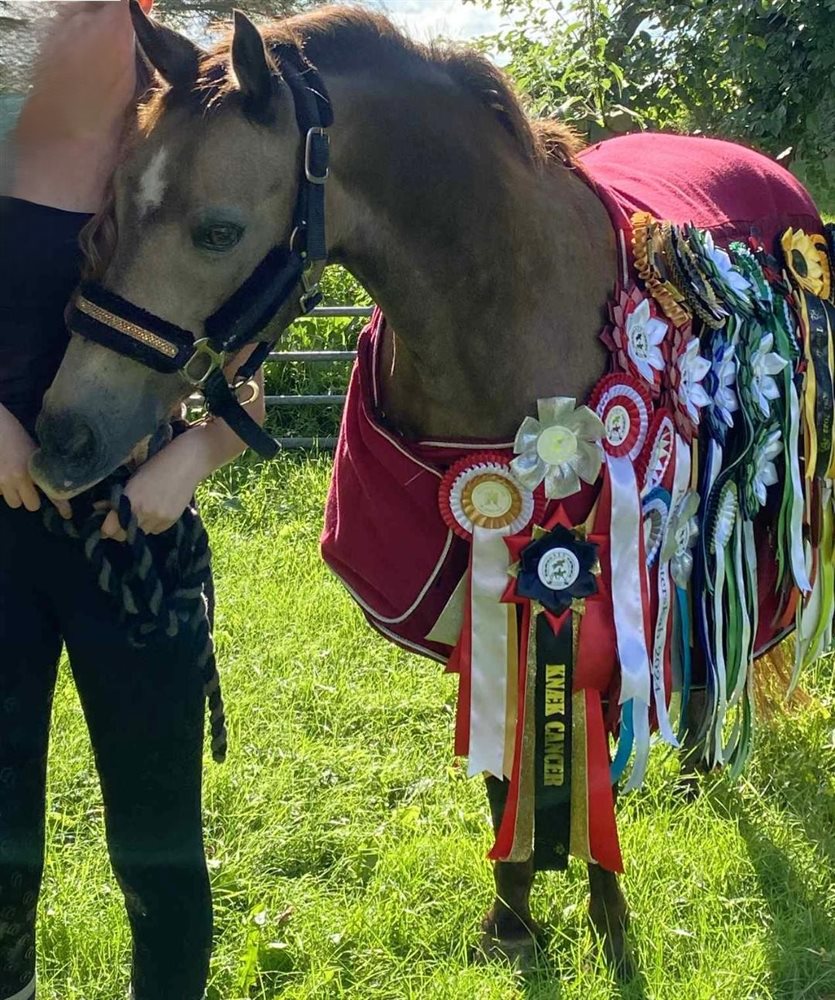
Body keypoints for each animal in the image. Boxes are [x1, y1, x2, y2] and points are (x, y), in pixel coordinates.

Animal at [30, 2, 833, 975]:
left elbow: (592, 767)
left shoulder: (601, 594)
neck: (512, 315)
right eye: (107, 210)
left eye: (216, 230)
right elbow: (500, 765)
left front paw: (607, 926)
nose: (62, 438)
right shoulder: (471, 591)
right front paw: (515, 918)